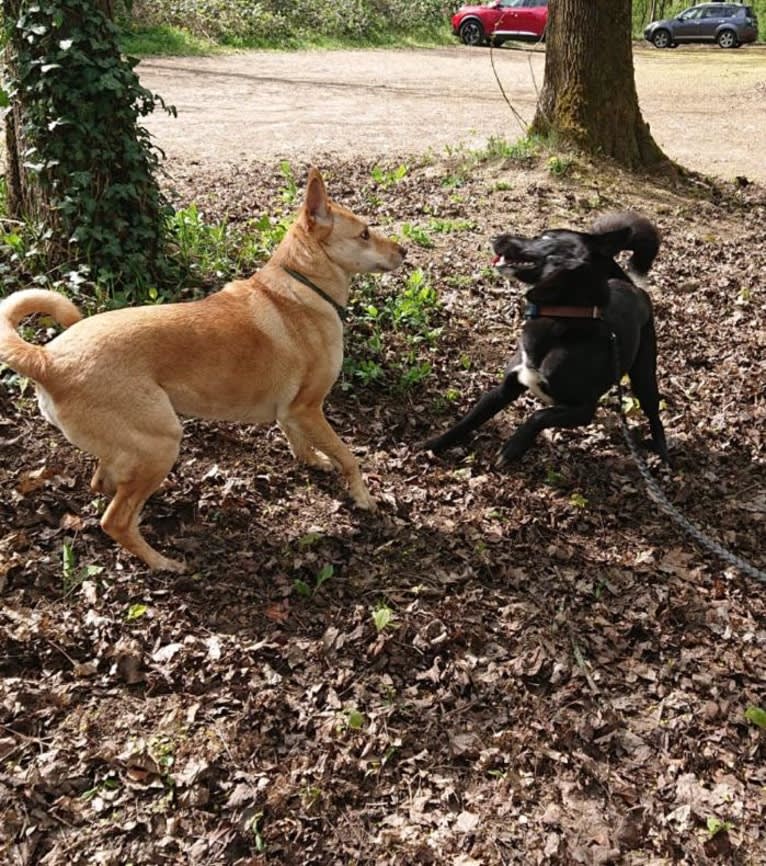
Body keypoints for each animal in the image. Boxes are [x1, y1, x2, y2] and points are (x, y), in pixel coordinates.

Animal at [0, 169, 408, 572]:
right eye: (365, 233)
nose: (404, 251)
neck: (300, 285)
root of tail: (48, 359)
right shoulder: (308, 407)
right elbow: (349, 456)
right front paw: (363, 497)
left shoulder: (292, 413)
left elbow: (301, 443)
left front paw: (315, 461)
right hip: (162, 439)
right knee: (115, 520)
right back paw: (162, 562)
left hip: (136, 445)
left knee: (103, 483)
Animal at [424, 210, 668, 466]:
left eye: (545, 237)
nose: (495, 237)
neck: (561, 317)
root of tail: (632, 286)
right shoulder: (505, 388)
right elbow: (470, 419)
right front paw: (434, 444)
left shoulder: (582, 410)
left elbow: (538, 416)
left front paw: (513, 448)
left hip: (644, 375)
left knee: (654, 412)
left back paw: (663, 454)